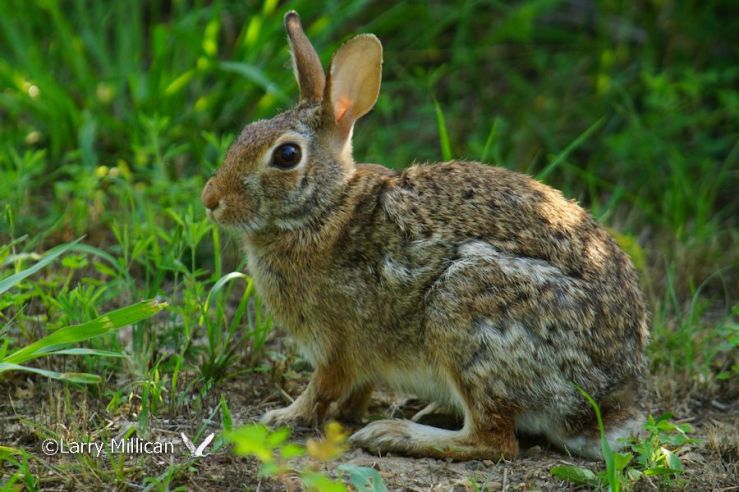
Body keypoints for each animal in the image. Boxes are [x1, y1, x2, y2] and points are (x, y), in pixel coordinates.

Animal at [201, 11, 649, 460]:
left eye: (287, 155)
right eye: (248, 131)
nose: (210, 199)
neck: (325, 209)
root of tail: (605, 406)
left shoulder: (337, 344)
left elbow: (322, 388)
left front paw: (282, 417)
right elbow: (355, 391)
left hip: (466, 312)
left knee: (494, 439)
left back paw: (393, 433)